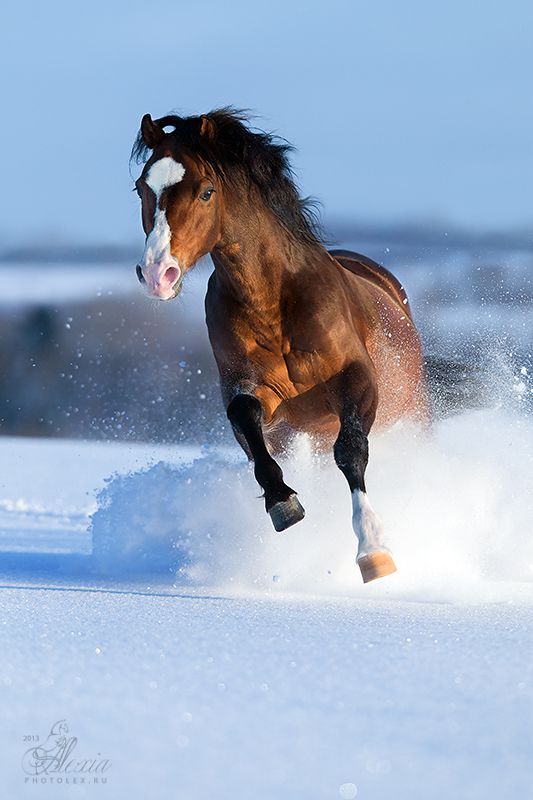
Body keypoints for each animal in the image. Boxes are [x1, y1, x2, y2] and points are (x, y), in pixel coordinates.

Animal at [131, 109, 429, 583]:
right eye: (143, 187)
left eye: (206, 191)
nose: (158, 272)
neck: (273, 301)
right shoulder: (256, 393)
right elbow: (248, 422)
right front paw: (283, 503)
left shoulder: (358, 380)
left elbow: (351, 450)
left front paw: (374, 551)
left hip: (412, 417)